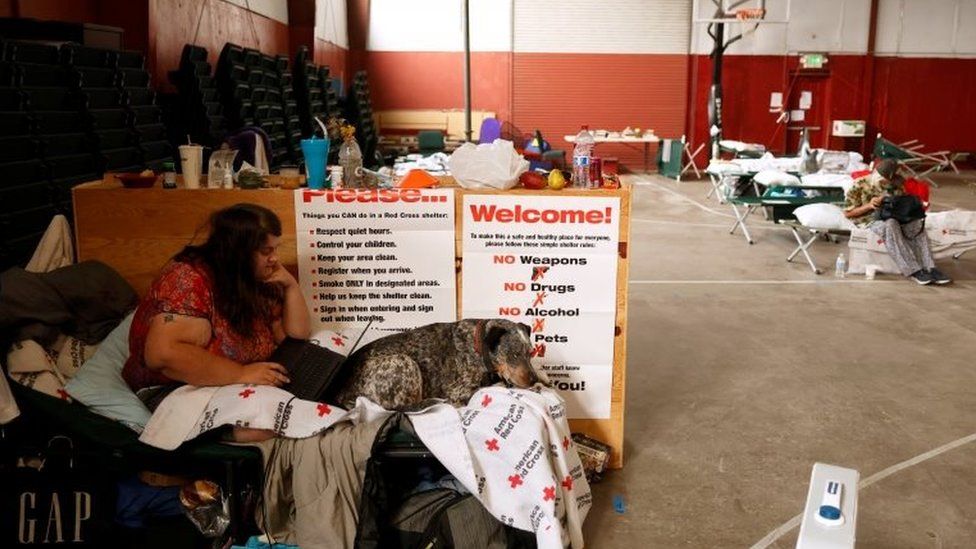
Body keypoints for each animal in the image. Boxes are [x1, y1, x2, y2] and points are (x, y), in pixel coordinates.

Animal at [338, 318, 544, 408]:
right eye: (514, 355)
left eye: (530, 354)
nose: (533, 380)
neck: (477, 345)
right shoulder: (458, 391)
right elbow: (491, 385)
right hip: (405, 362)